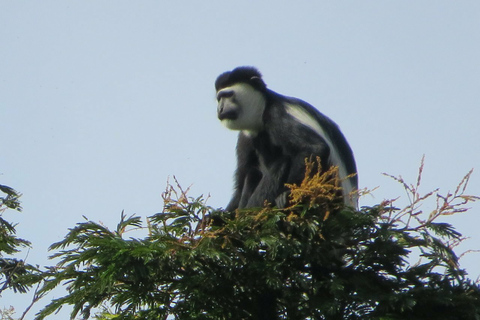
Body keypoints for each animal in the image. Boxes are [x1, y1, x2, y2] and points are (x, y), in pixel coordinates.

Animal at [217, 67, 356, 210]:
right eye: (219, 99)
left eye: (228, 95)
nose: (220, 109)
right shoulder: (245, 135)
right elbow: (240, 183)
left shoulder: (277, 115)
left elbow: (315, 148)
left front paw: (287, 193)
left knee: (281, 161)